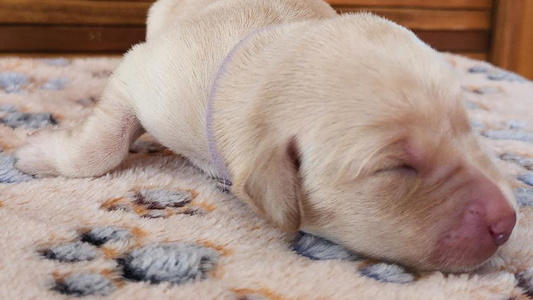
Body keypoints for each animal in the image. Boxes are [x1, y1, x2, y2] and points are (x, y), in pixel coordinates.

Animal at [15, 0, 516, 272]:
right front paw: (38, 153)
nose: (508, 222)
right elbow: (101, 146)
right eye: (396, 167)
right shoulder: (145, 73)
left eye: (468, 128)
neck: (261, 46)